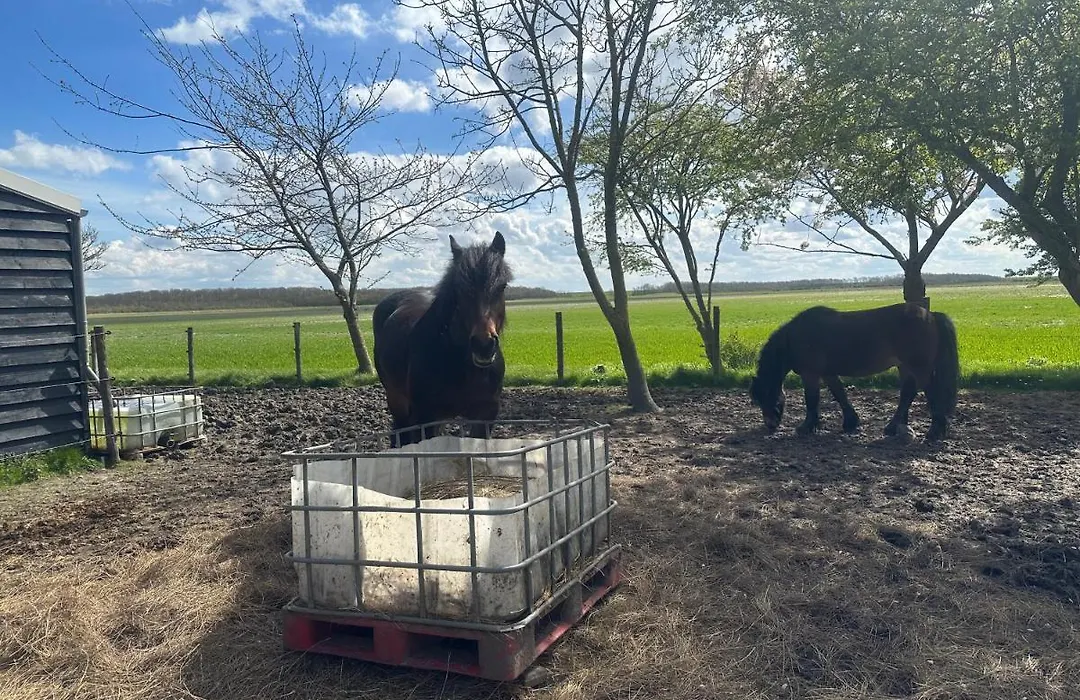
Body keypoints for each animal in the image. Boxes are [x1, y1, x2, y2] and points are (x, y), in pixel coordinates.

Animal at [372, 231, 512, 447]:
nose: (483, 344)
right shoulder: (425, 418)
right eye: (458, 289)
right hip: (397, 399)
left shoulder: (485, 416)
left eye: (502, 286)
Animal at [748, 302, 959, 442]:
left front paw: (806, 427)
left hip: (918, 367)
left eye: (765, 396)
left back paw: (934, 432)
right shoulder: (828, 373)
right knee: (908, 393)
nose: (770, 425)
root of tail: (931, 315)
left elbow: (812, 399)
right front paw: (851, 422)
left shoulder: (811, 374)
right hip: (905, 366)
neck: (795, 338)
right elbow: (839, 393)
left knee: (930, 393)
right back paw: (892, 428)